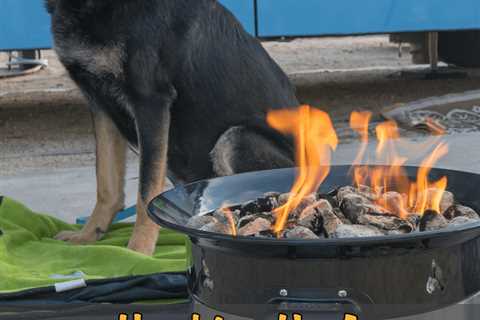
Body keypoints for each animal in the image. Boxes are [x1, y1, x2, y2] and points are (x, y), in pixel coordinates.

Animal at [47, 0, 298, 255]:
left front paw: (139, 250)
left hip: (235, 139)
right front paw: (88, 236)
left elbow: (146, 191)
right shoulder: (100, 104)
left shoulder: (150, 101)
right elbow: (106, 182)